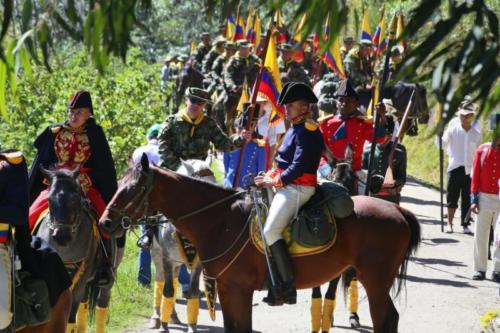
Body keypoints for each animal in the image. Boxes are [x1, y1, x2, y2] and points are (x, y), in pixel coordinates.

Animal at [99, 156, 420, 332]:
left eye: (132, 188)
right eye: (118, 184)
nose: (105, 223)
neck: (220, 219)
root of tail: (397, 211)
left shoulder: (236, 289)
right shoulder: (229, 290)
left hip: (375, 281)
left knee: (384, 320)